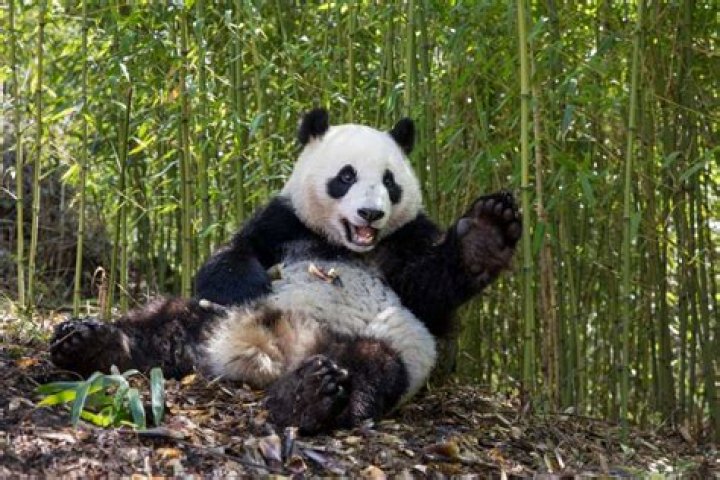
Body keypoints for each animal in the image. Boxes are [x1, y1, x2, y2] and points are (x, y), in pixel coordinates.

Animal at [50, 108, 522, 434]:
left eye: (390, 181)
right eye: (345, 176)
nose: (370, 214)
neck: (341, 245)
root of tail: (269, 356)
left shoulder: (406, 243)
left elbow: (430, 288)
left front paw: (486, 233)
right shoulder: (283, 220)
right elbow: (233, 252)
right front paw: (250, 281)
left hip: (391, 343)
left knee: (373, 369)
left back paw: (308, 395)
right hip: (209, 318)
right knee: (162, 324)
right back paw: (89, 343)